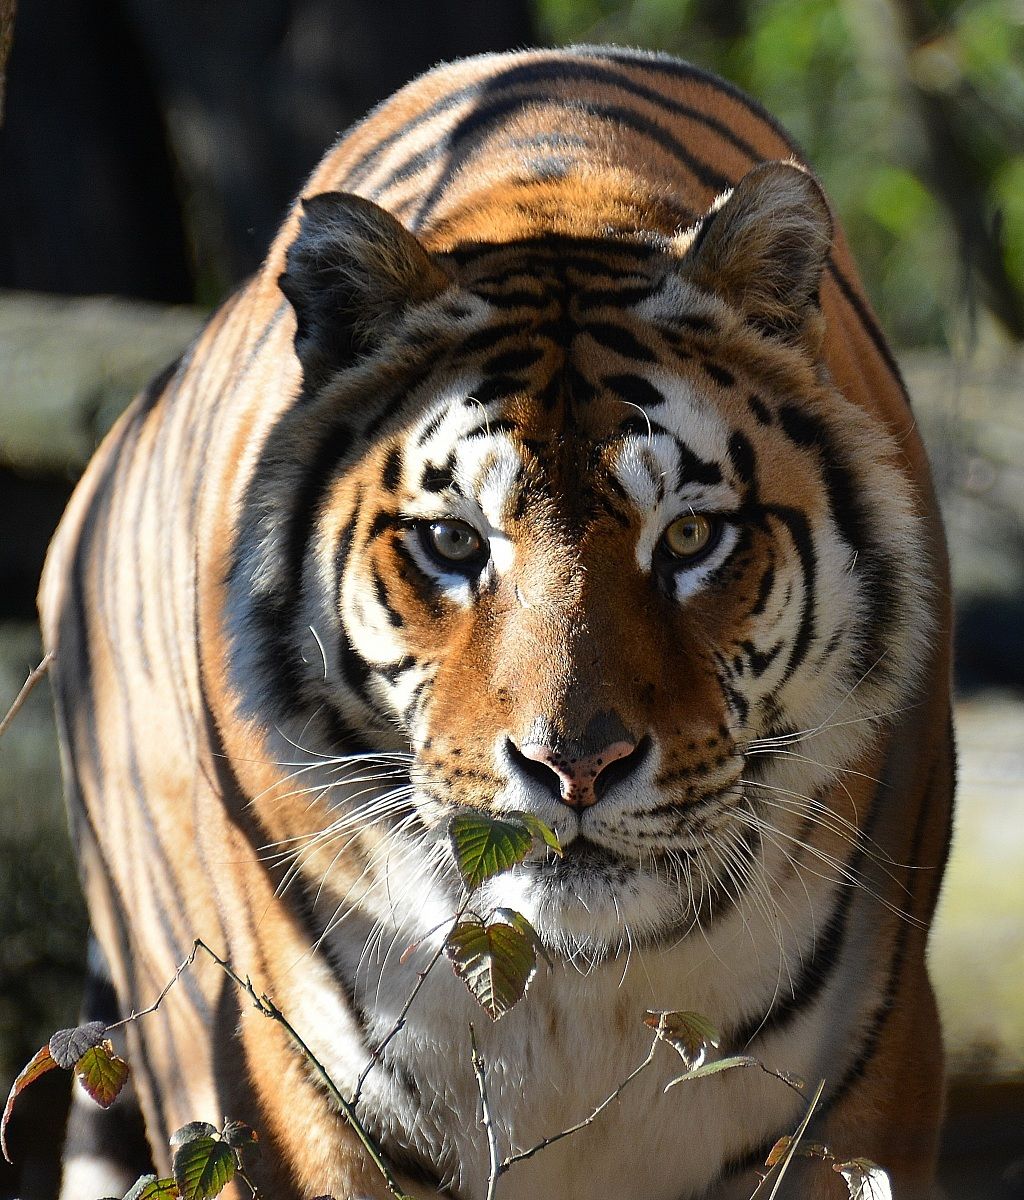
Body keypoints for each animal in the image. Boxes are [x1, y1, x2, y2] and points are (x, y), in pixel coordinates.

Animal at [39, 45, 954, 1200]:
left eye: (690, 537)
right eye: (454, 542)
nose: (575, 769)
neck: (576, 987)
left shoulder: (868, 1076)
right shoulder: (291, 1089)